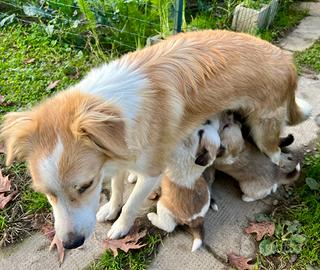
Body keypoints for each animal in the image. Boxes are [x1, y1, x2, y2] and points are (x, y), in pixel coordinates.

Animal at [0, 30, 310, 249]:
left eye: (85, 186)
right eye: (47, 193)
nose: (70, 244)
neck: (114, 107)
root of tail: (287, 59)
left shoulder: (152, 172)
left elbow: (131, 204)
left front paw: (121, 225)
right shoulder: (118, 158)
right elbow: (117, 188)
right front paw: (111, 207)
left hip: (262, 131)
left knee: (275, 155)